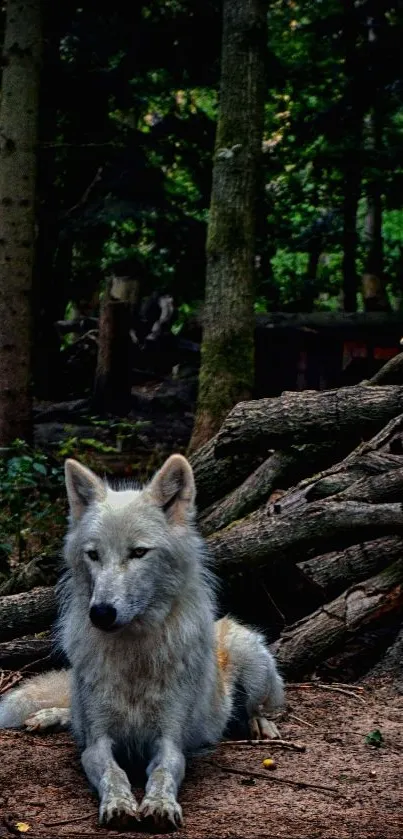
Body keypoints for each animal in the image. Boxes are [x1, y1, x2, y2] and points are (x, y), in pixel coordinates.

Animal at [0, 452, 284, 828]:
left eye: (138, 553)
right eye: (93, 554)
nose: (100, 613)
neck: (133, 653)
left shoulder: (169, 741)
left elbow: (164, 772)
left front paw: (159, 805)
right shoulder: (97, 742)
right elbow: (112, 772)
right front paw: (120, 804)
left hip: (252, 660)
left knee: (260, 705)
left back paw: (260, 724)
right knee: (72, 712)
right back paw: (49, 716)